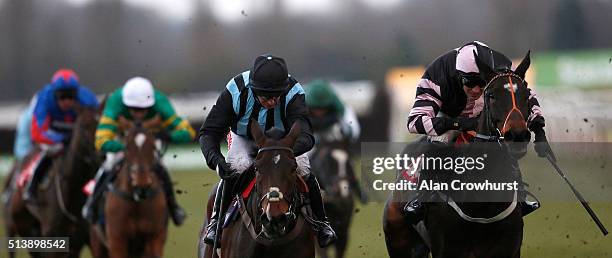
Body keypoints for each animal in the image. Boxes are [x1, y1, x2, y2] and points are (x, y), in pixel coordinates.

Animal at [89, 121, 170, 258]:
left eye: (153, 147)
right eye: (126, 147)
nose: (142, 186)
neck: (136, 204)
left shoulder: (154, 238)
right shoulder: (117, 240)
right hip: (98, 243)